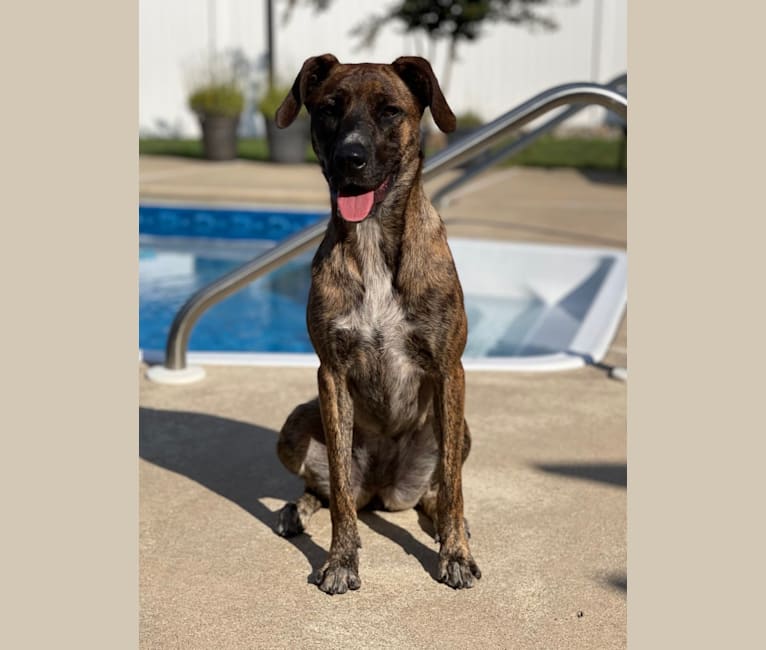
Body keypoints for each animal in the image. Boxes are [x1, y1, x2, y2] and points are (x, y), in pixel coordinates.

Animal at [274, 54, 480, 592]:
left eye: (390, 111)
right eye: (329, 108)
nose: (351, 158)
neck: (371, 240)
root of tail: (384, 489)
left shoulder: (449, 370)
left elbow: (454, 487)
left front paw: (456, 554)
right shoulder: (330, 374)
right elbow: (340, 495)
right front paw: (340, 560)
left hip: (459, 430)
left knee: (437, 491)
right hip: (296, 424)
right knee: (325, 489)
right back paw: (294, 510)